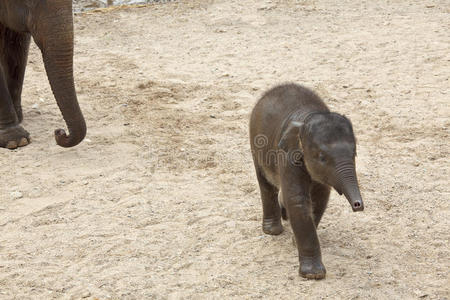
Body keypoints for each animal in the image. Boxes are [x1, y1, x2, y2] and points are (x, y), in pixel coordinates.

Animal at [251, 83, 364, 280]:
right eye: (322, 157)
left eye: (355, 154)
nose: (358, 205)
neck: (308, 116)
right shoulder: (287, 156)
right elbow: (298, 201)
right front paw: (313, 275)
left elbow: (319, 199)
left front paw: (295, 241)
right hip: (254, 143)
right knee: (266, 185)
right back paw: (272, 231)